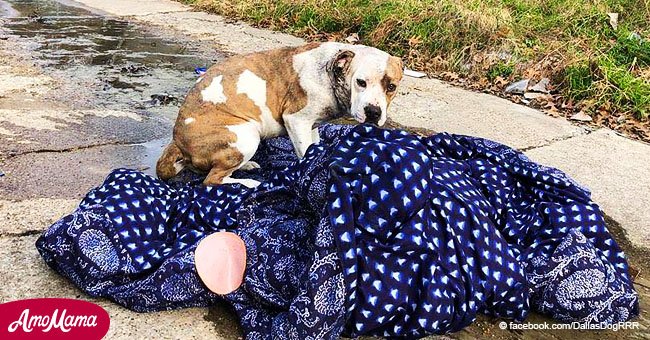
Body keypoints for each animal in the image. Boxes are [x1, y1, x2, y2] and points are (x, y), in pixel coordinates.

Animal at [156, 41, 400, 189]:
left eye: (392, 87)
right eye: (361, 82)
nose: (373, 112)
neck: (331, 72)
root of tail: (178, 143)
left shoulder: (311, 125)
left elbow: (315, 147)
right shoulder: (297, 120)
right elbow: (305, 153)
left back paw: (246, 166)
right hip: (246, 135)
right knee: (211, 180)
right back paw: (248, 183)